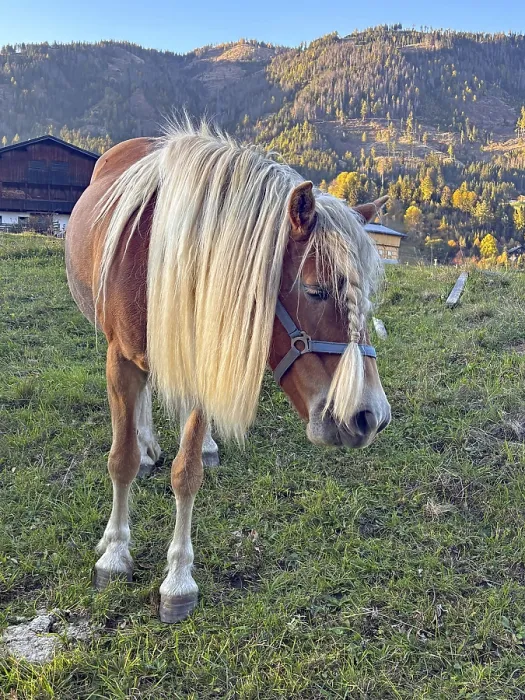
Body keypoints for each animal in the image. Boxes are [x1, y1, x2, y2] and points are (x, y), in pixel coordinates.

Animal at [65, 121, 391, 623]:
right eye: (315, 290)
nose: (369, 415)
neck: (160, 255)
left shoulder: (204, 358)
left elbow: (187, 473)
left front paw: (178, 578)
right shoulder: (119, 360)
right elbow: (120, 461)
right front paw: (115, 554)